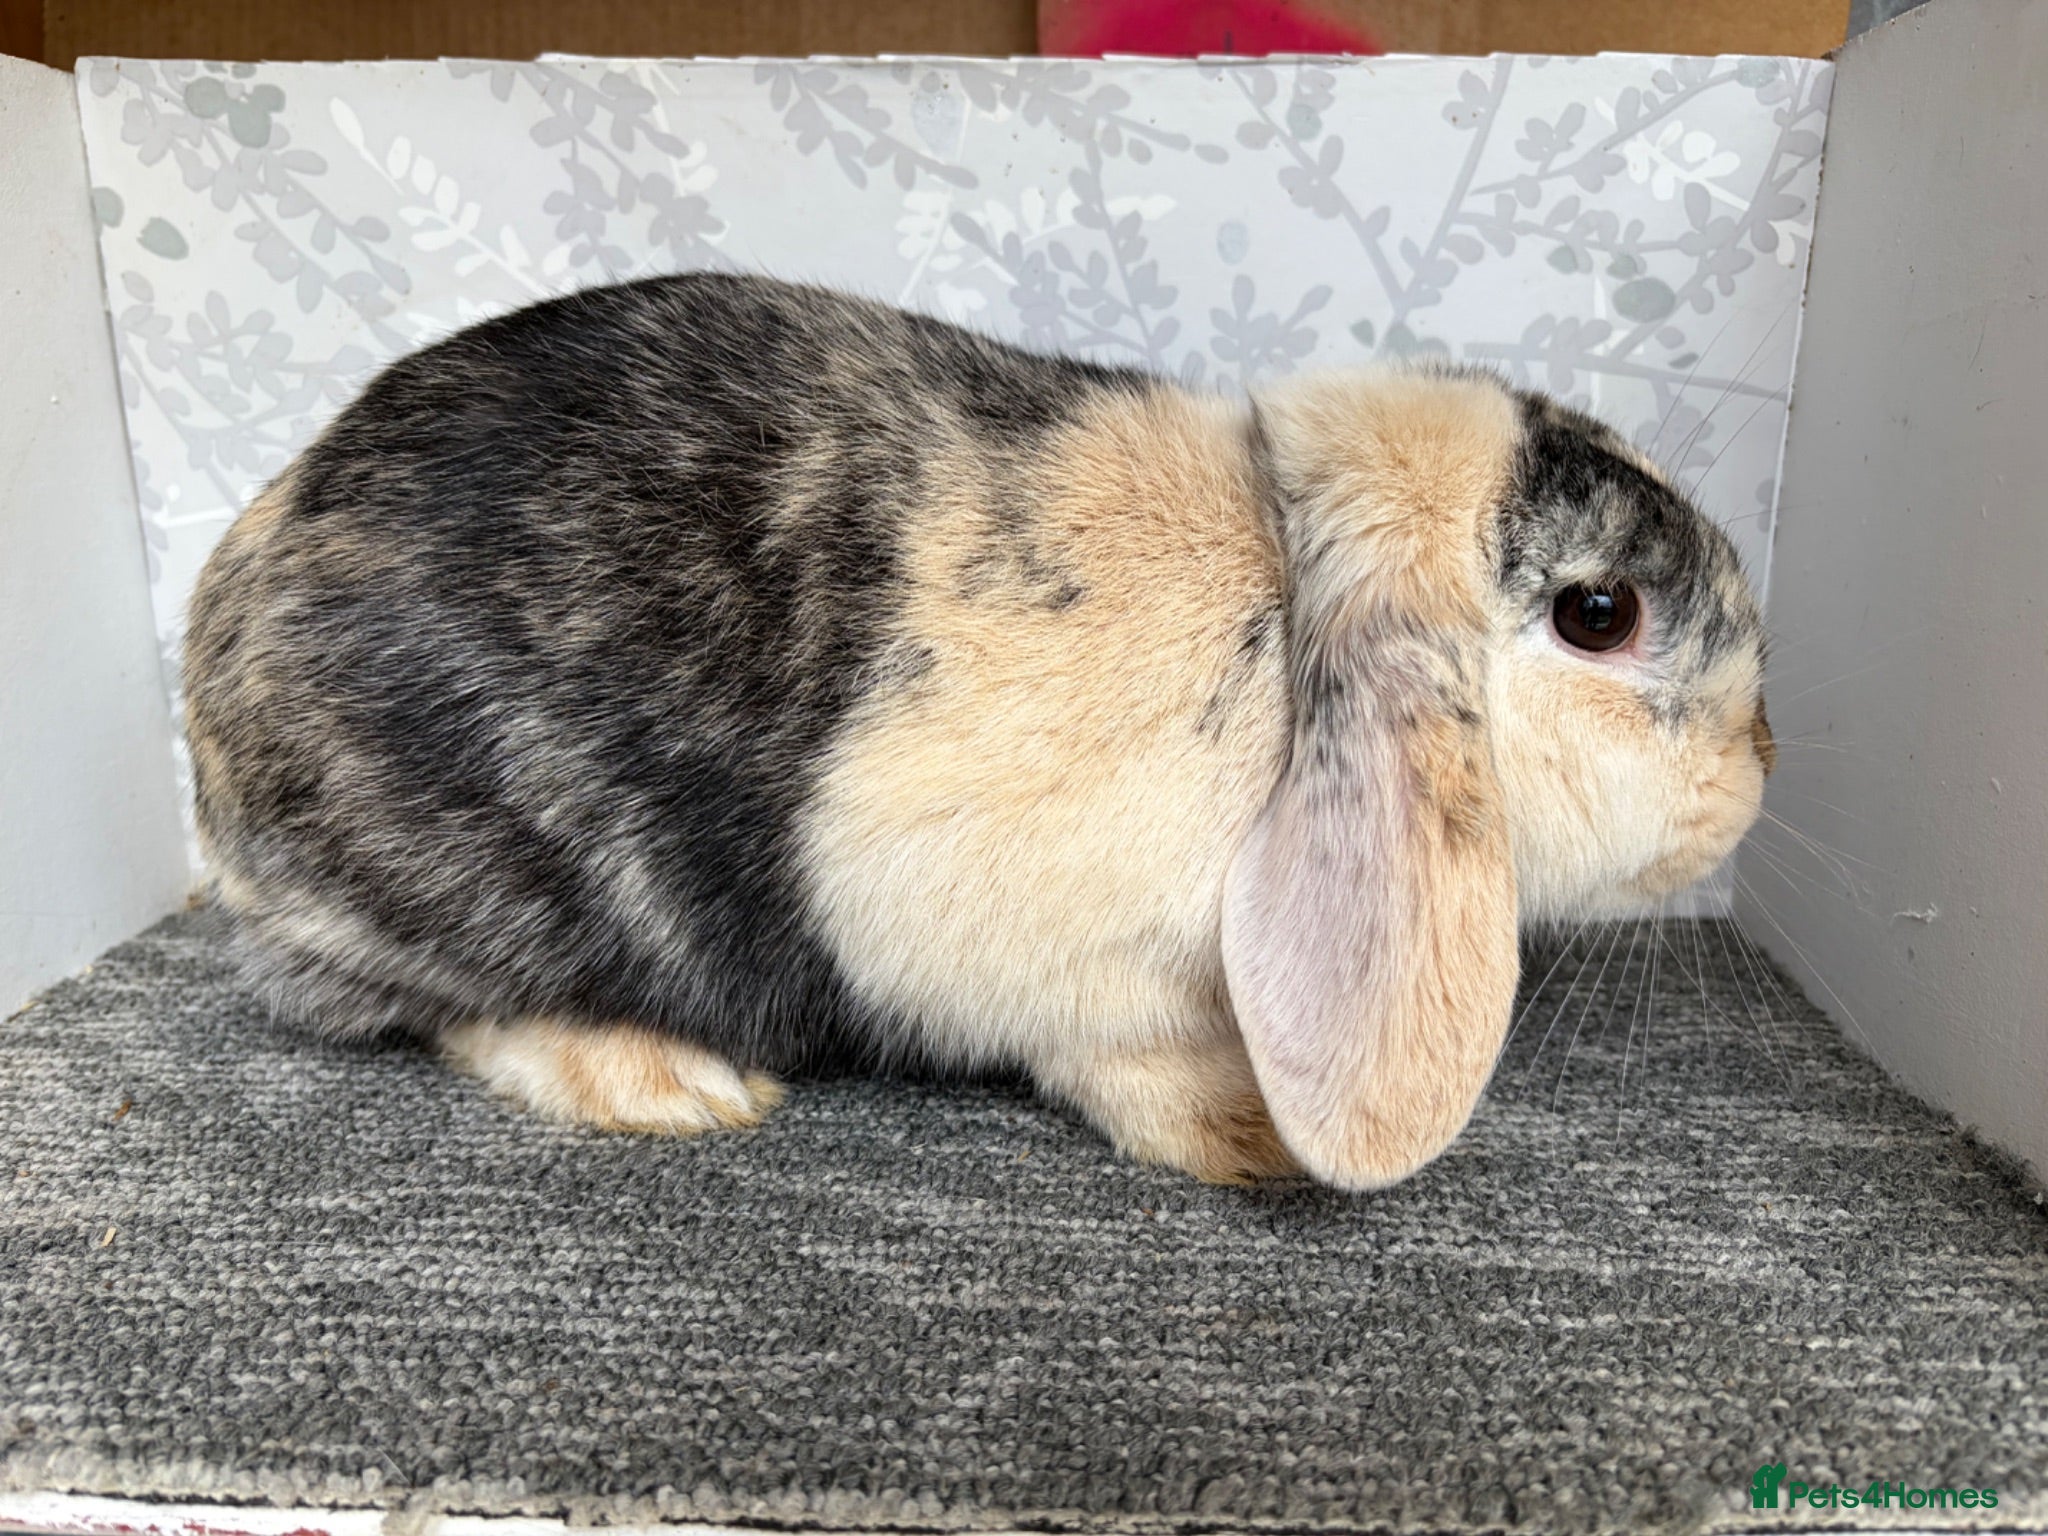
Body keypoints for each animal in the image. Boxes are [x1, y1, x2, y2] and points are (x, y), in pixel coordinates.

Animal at [184, 270, 1774, 1190]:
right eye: (1600, 613)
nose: (1757, 773)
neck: (1279, 616)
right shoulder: (1061, 966)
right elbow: (1119, 1063)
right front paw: (1254, 1139)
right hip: (474, 889)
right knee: (441, 1012)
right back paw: (674, 1088)